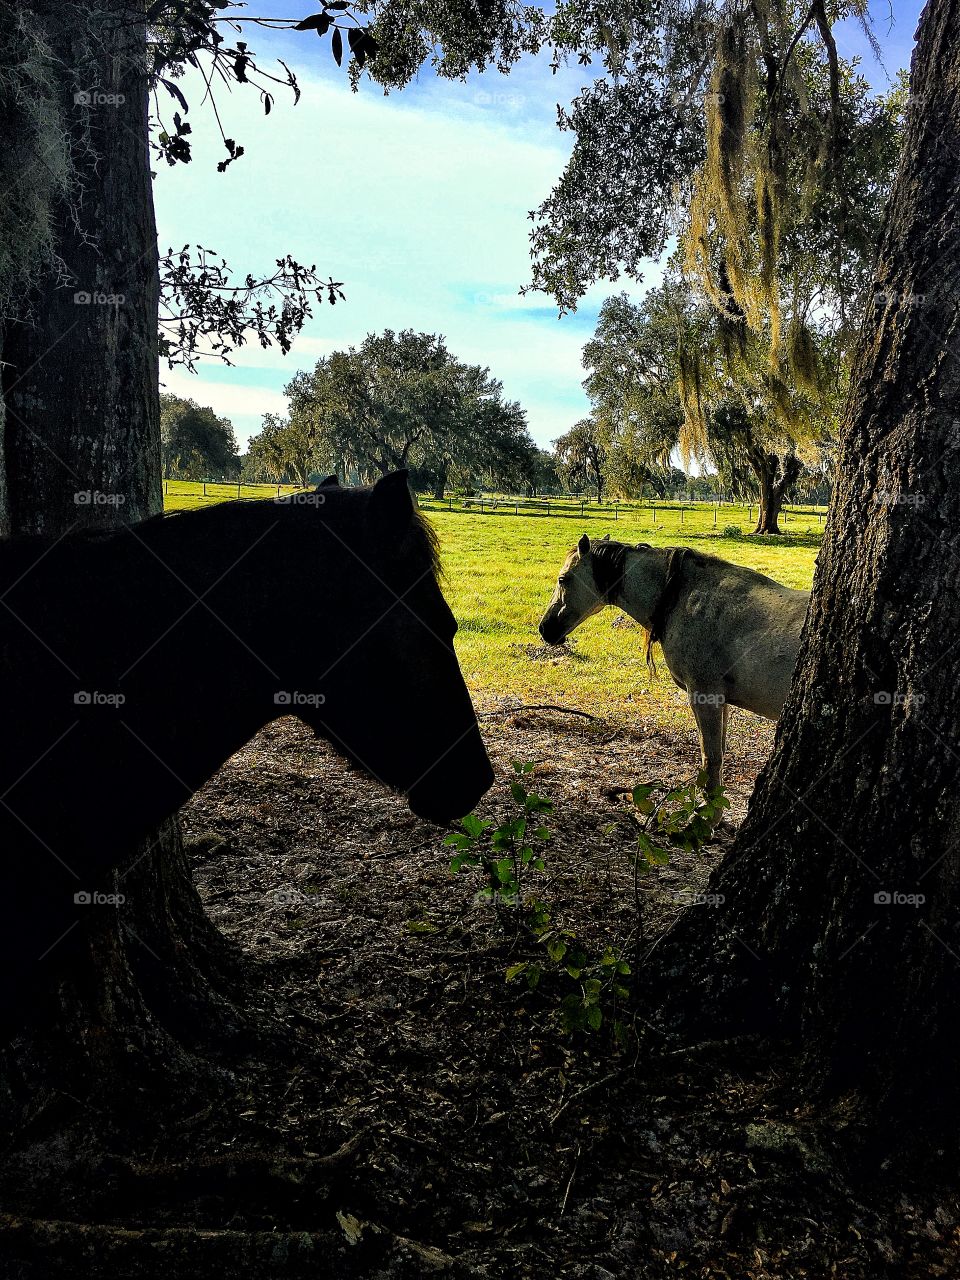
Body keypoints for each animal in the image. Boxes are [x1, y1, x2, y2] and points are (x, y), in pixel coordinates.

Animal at [538, 534, 810, 791]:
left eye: (563, 579)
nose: (545, 628)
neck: (682, 596)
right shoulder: (722, 701)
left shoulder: (705, 696)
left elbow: (711, 761)